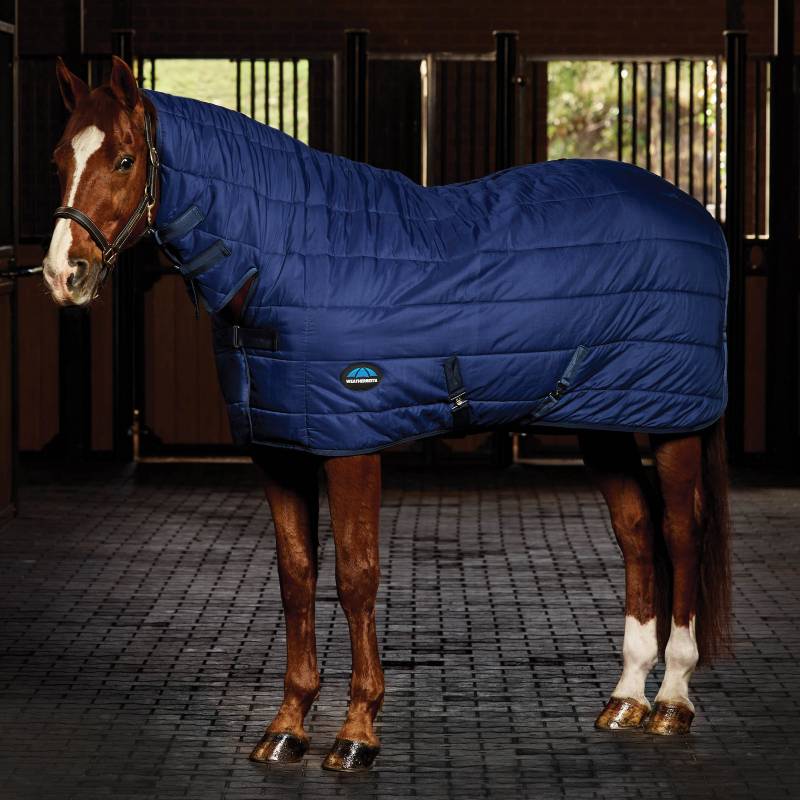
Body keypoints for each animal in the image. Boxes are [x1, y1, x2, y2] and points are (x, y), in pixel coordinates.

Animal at [41, 55, 731, 772]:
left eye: (124, 160)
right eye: (59, 157)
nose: (65, 274)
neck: (286, 254)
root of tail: (697, 214)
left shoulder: (351, 444)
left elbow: (355, 577)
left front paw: (356, 733)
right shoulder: (279, 450)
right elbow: (296, 577)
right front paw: (286, 726)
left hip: (675, 423)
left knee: (681, 533)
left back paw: (672, 701)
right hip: (605, 418)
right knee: (636, 533)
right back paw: (626, 698)